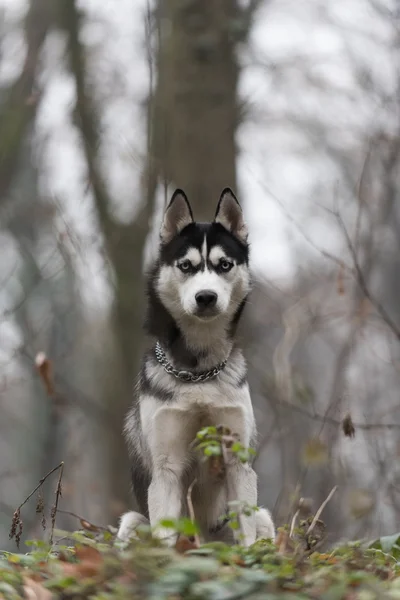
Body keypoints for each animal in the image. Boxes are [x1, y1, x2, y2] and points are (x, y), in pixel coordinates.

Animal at [117, 190, 276, 548]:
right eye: (186, 266)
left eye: (224, 265)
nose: (206, 296)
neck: (199, 373)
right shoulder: (166, 468)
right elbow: (165, 532)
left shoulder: (237, 461)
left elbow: (245, 533)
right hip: (131, 523)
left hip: (265, 517)